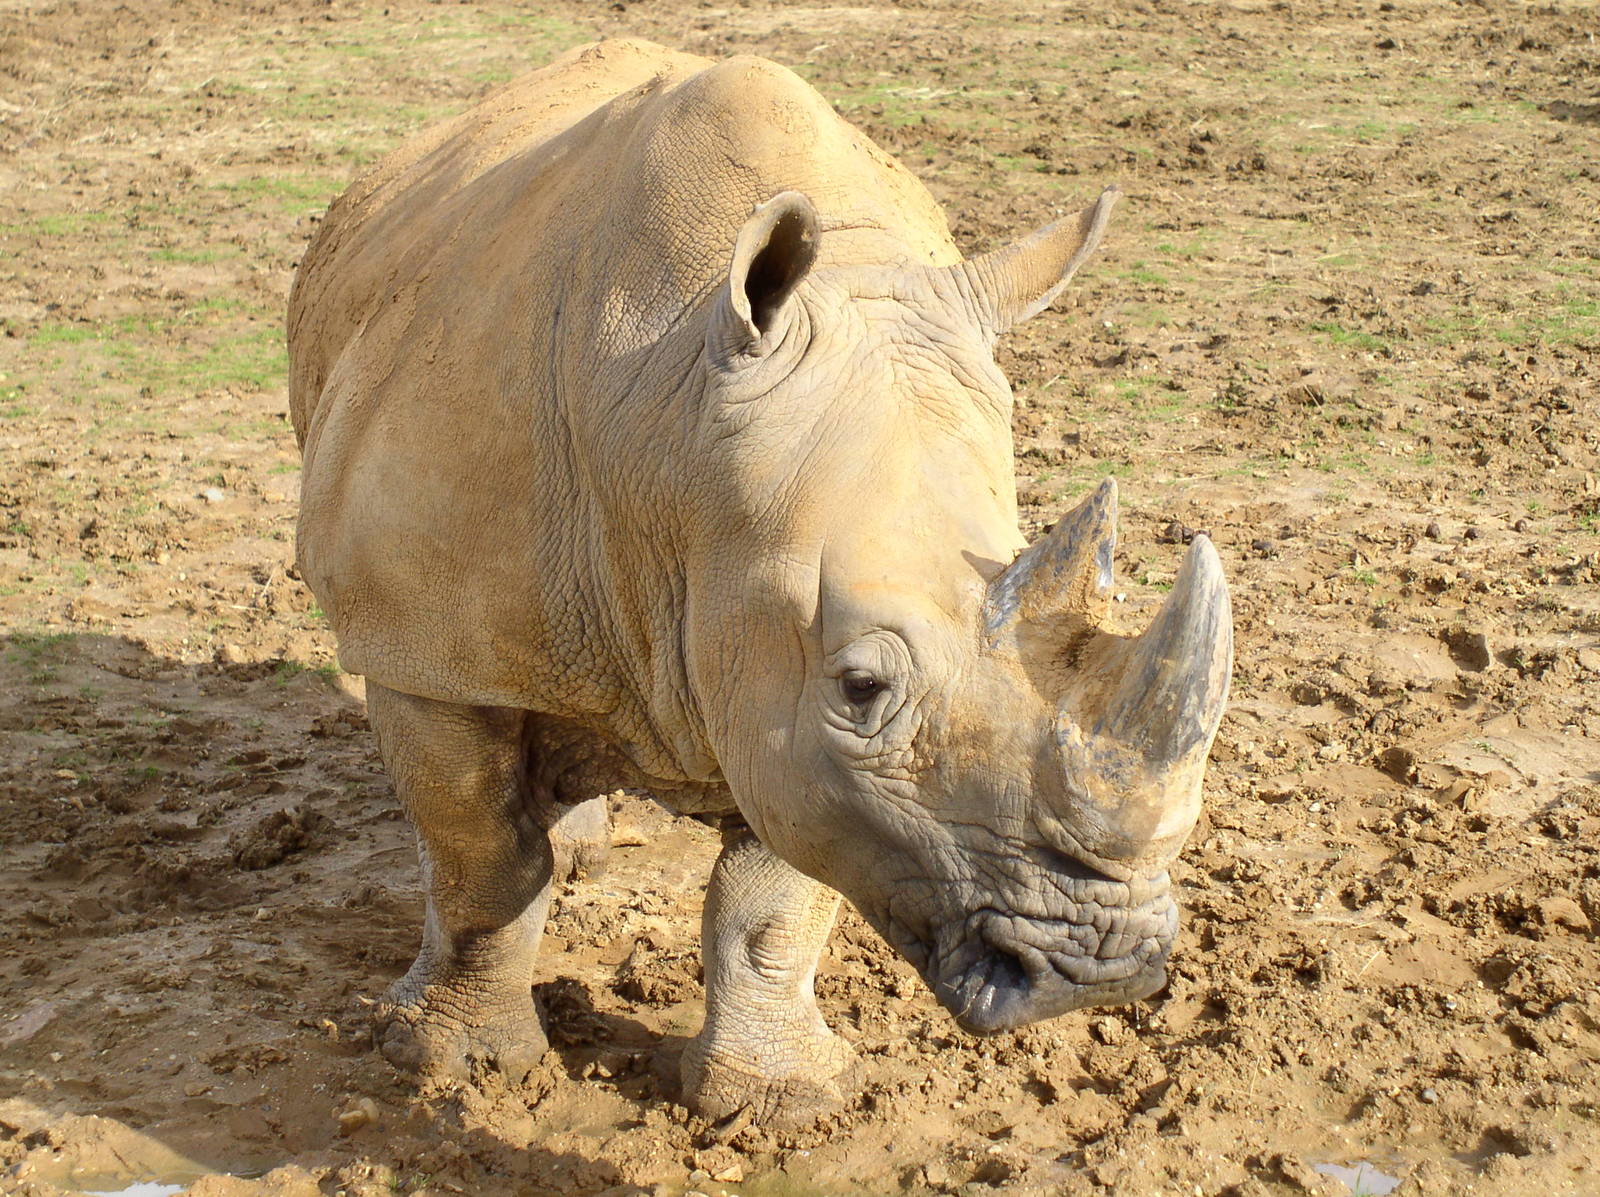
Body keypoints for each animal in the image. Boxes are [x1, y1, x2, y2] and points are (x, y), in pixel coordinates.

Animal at [287, 38, 1232, 1126]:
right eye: (864, 686)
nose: (1098, 968)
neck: (674, 441)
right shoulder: (425, 648)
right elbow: (481, 858)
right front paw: (453, 1065)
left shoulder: (781, 674)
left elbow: (772, 903)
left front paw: (777, 1102)